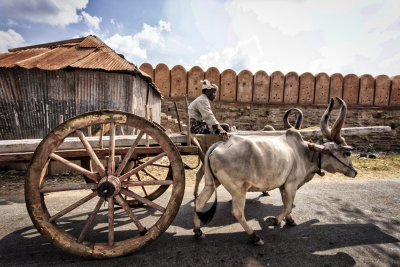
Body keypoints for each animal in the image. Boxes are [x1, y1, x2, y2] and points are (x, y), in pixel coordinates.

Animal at [193, 97, 356, 246]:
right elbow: (288, 205)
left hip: (211, 182)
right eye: (347, 153)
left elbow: (286, 204)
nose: (355, 172)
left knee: (199, 203)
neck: (305, 152)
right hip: (239, 189)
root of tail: (218, 145)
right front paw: (274, 220)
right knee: (237, 212)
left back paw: (198, 231)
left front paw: (290, 220)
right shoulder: (291, 184)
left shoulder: (284, 185)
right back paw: (254, 236)